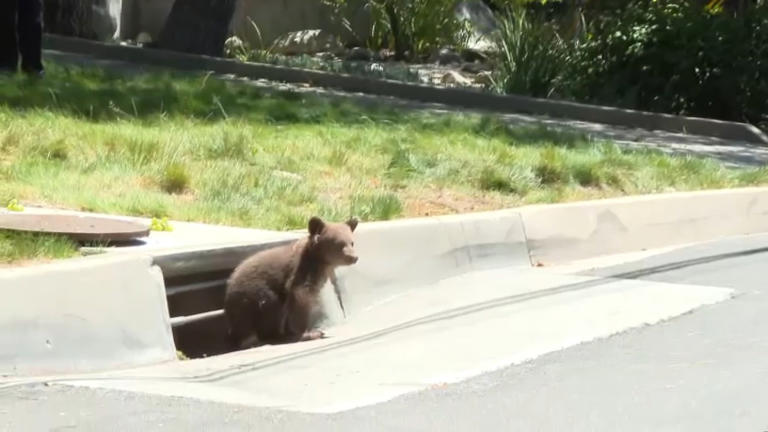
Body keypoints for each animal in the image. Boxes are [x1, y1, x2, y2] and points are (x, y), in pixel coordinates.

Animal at [224, 216, 359, 350]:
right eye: (339, 244)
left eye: (351, 242)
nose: (354, 257)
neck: (321, 261)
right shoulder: (303, 269)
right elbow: (301, 295)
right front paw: (308, 332)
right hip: (253, 295)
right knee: (270, 308)